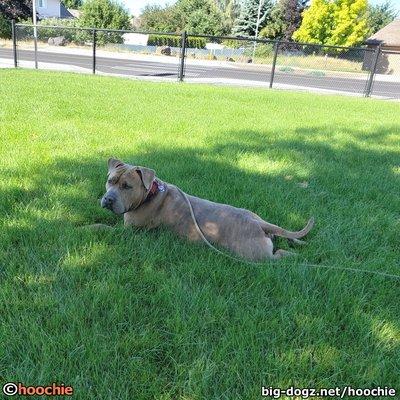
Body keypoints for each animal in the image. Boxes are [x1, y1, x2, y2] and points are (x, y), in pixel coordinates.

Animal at [98, 158, 314, 260]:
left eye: (127, 186)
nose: (108, 199)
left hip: (256, 255)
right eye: (110, 181)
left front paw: (89, 228)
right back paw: (299, 243)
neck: (149, 193)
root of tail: (259, 224)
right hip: (258, 218)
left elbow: (100, 227)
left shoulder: (127, 231)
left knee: (277, 256)